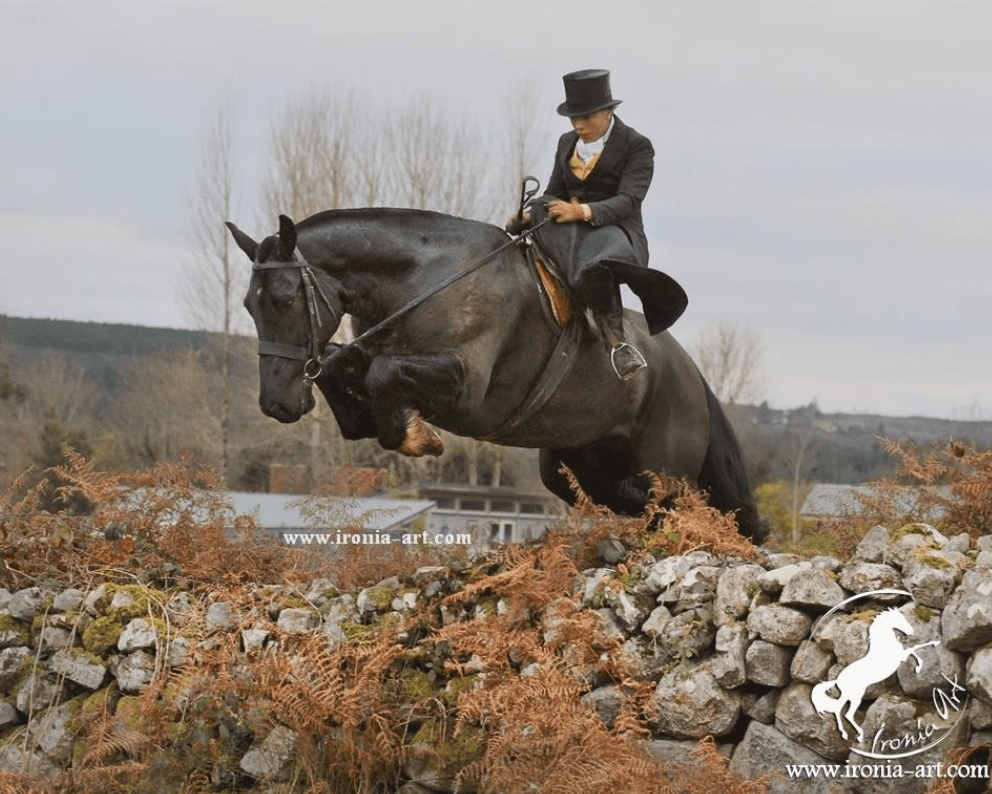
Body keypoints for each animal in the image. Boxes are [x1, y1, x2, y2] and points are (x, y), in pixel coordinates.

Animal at [227, 207, 768, 540]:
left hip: (666, 464)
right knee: (614, 494)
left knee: (673, 505)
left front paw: (418, 438)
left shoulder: (466, 388)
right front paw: (379, 423)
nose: (277, 405)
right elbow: (343, 366)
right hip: (574, 458)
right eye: (248, 306)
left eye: (283, 300)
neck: (422, 281)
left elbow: (382, 374)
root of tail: (691, 372)